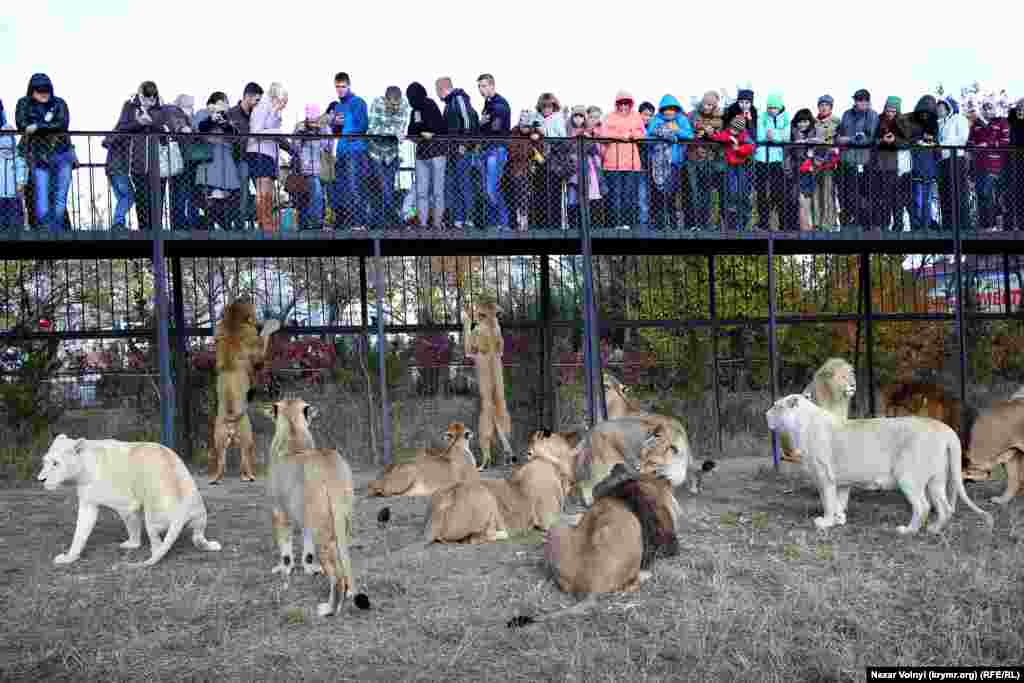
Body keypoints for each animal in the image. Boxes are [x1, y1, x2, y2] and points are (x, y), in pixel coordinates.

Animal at [38, 436, 222, 569]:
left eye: (56, 463)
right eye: (45, 461)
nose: (40, 480)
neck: (83, 467)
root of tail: (181, 512)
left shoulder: (126, 505)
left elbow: (131, 525)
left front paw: (132, 544)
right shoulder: (88, 503)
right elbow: (80, 533)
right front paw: (70, 557)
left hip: (152, 518)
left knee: (159, 544)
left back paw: (154, 554)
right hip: (201, 515)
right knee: (198, 538)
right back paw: (211, 546)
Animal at [208, 299, 282, 485]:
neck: (233, 322)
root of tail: (230, 420)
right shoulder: (258, 352)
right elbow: (264, 334)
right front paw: (273, 323)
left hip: (218, 439)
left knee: (221, 464)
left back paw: (215, 479)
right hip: (248, 437)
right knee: (245, 462)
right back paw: (249, 477)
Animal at [462, 294, 512, 471]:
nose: (474, 309)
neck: (490, 323)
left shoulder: (472, 347)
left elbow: (469, 341)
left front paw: (466, 315)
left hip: (482, 430)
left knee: (486, 451)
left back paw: (482, 466)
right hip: (506, 424)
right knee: (506, 444)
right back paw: (507, 460)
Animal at [770, 395, 991, 532]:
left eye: (776, 406)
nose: (766, 413)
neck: (802, 424)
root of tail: (945, 429)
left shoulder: (825, 478)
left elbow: (828, 502)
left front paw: (825, 523)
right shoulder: (842, 482)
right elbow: (839, 502)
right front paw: (839, 520)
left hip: (908, 477)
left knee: (923, 506)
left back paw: (907, 531)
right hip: (936, 480)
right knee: (945, 508)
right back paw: (934, 530)